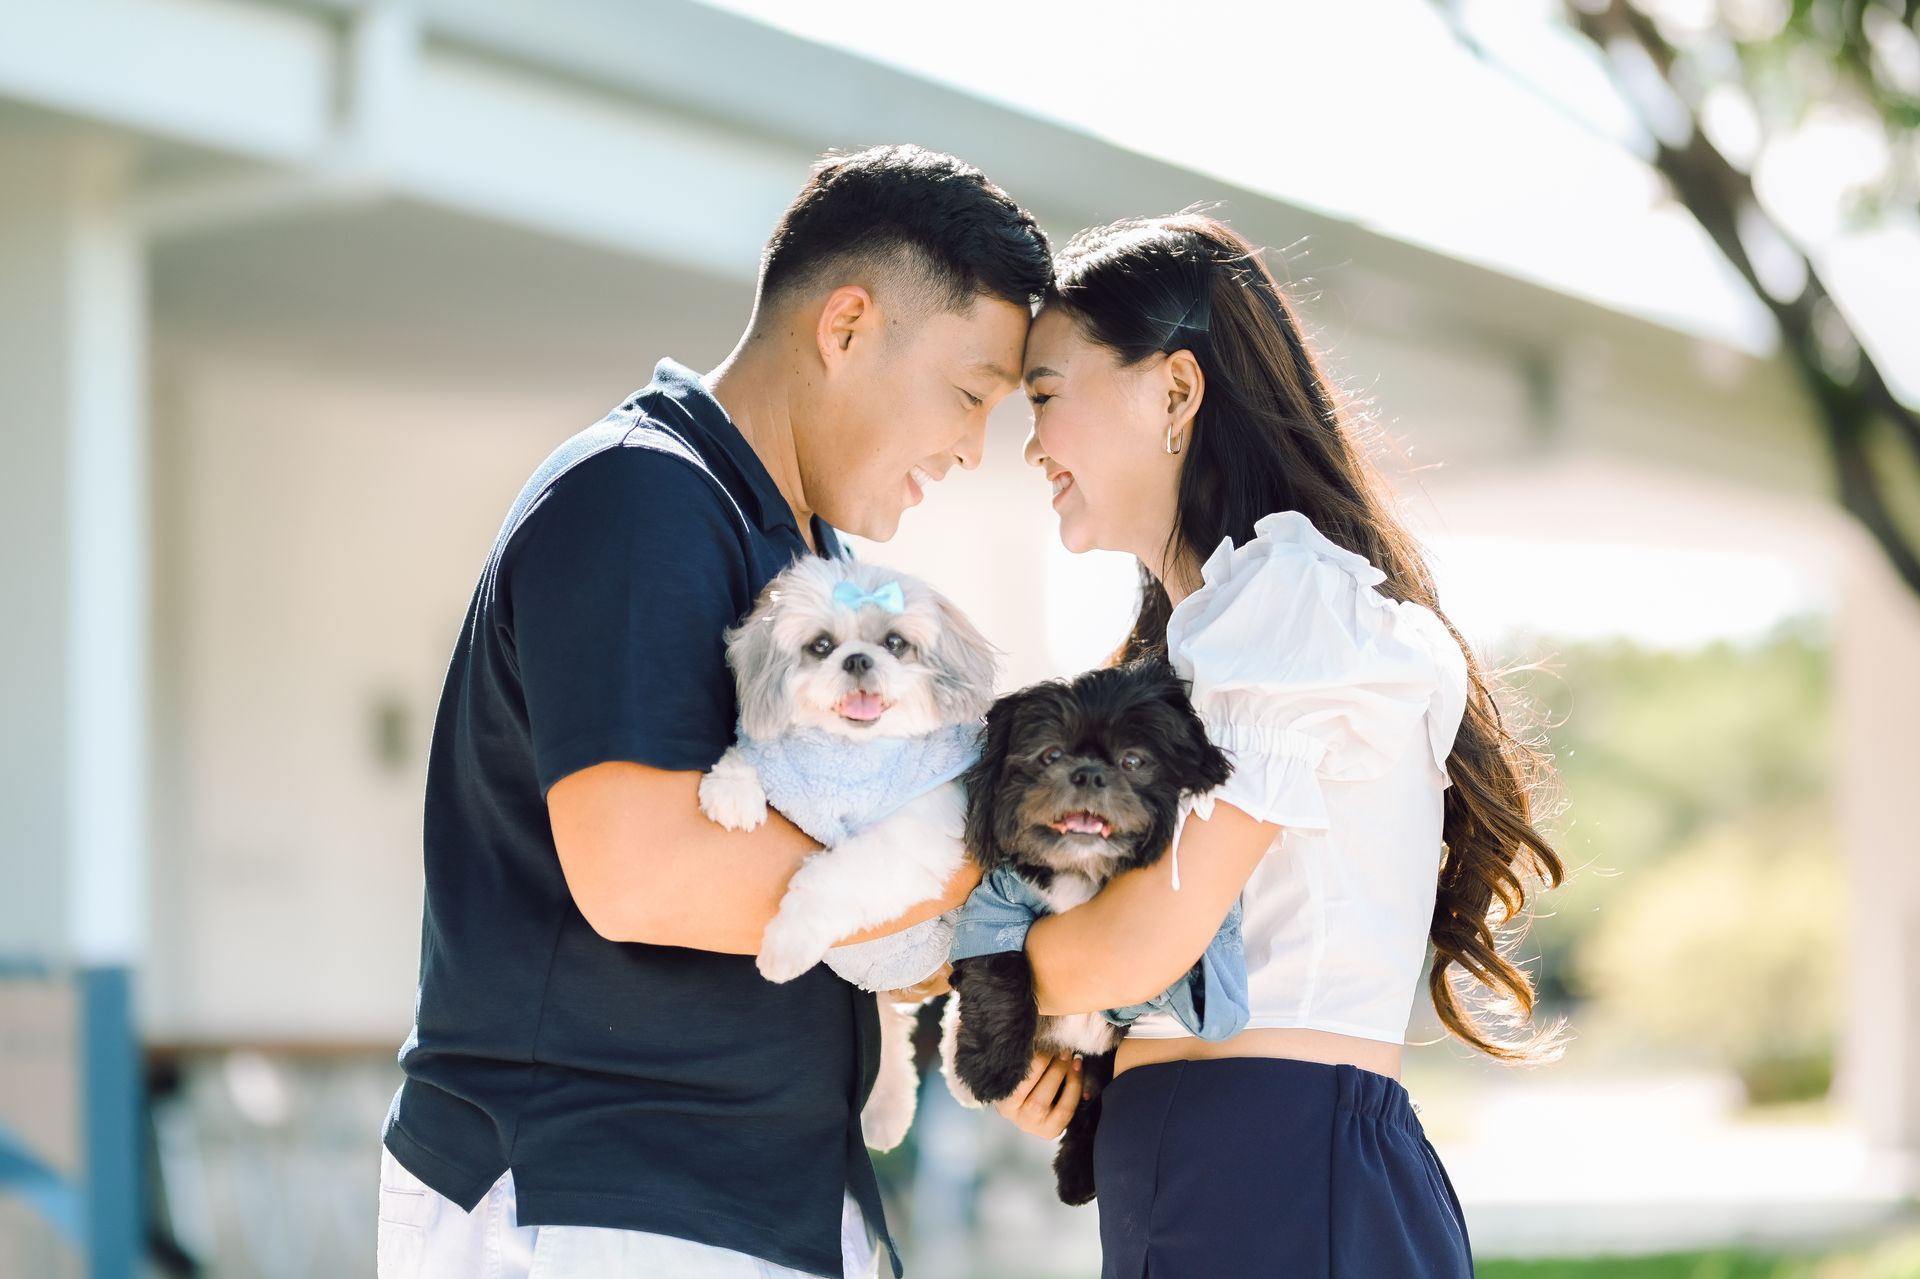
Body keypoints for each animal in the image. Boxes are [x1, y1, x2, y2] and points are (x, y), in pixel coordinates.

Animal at [698, 554, 996, 1150]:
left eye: (896, 643)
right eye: (820, 645)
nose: (858, 659)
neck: (851, 755)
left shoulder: (907, 844)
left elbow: (831, 879)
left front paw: (786, 945)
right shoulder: (784, 769)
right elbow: (749, 756)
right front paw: (732, 791)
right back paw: (887, 1111)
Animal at [940, 659, 1232, 1204]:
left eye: (1134, 761)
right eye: (1050, 754)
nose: (1089, 773)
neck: (1081, 872)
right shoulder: (992, 909)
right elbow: (1001, 970)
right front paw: (990, 1070)